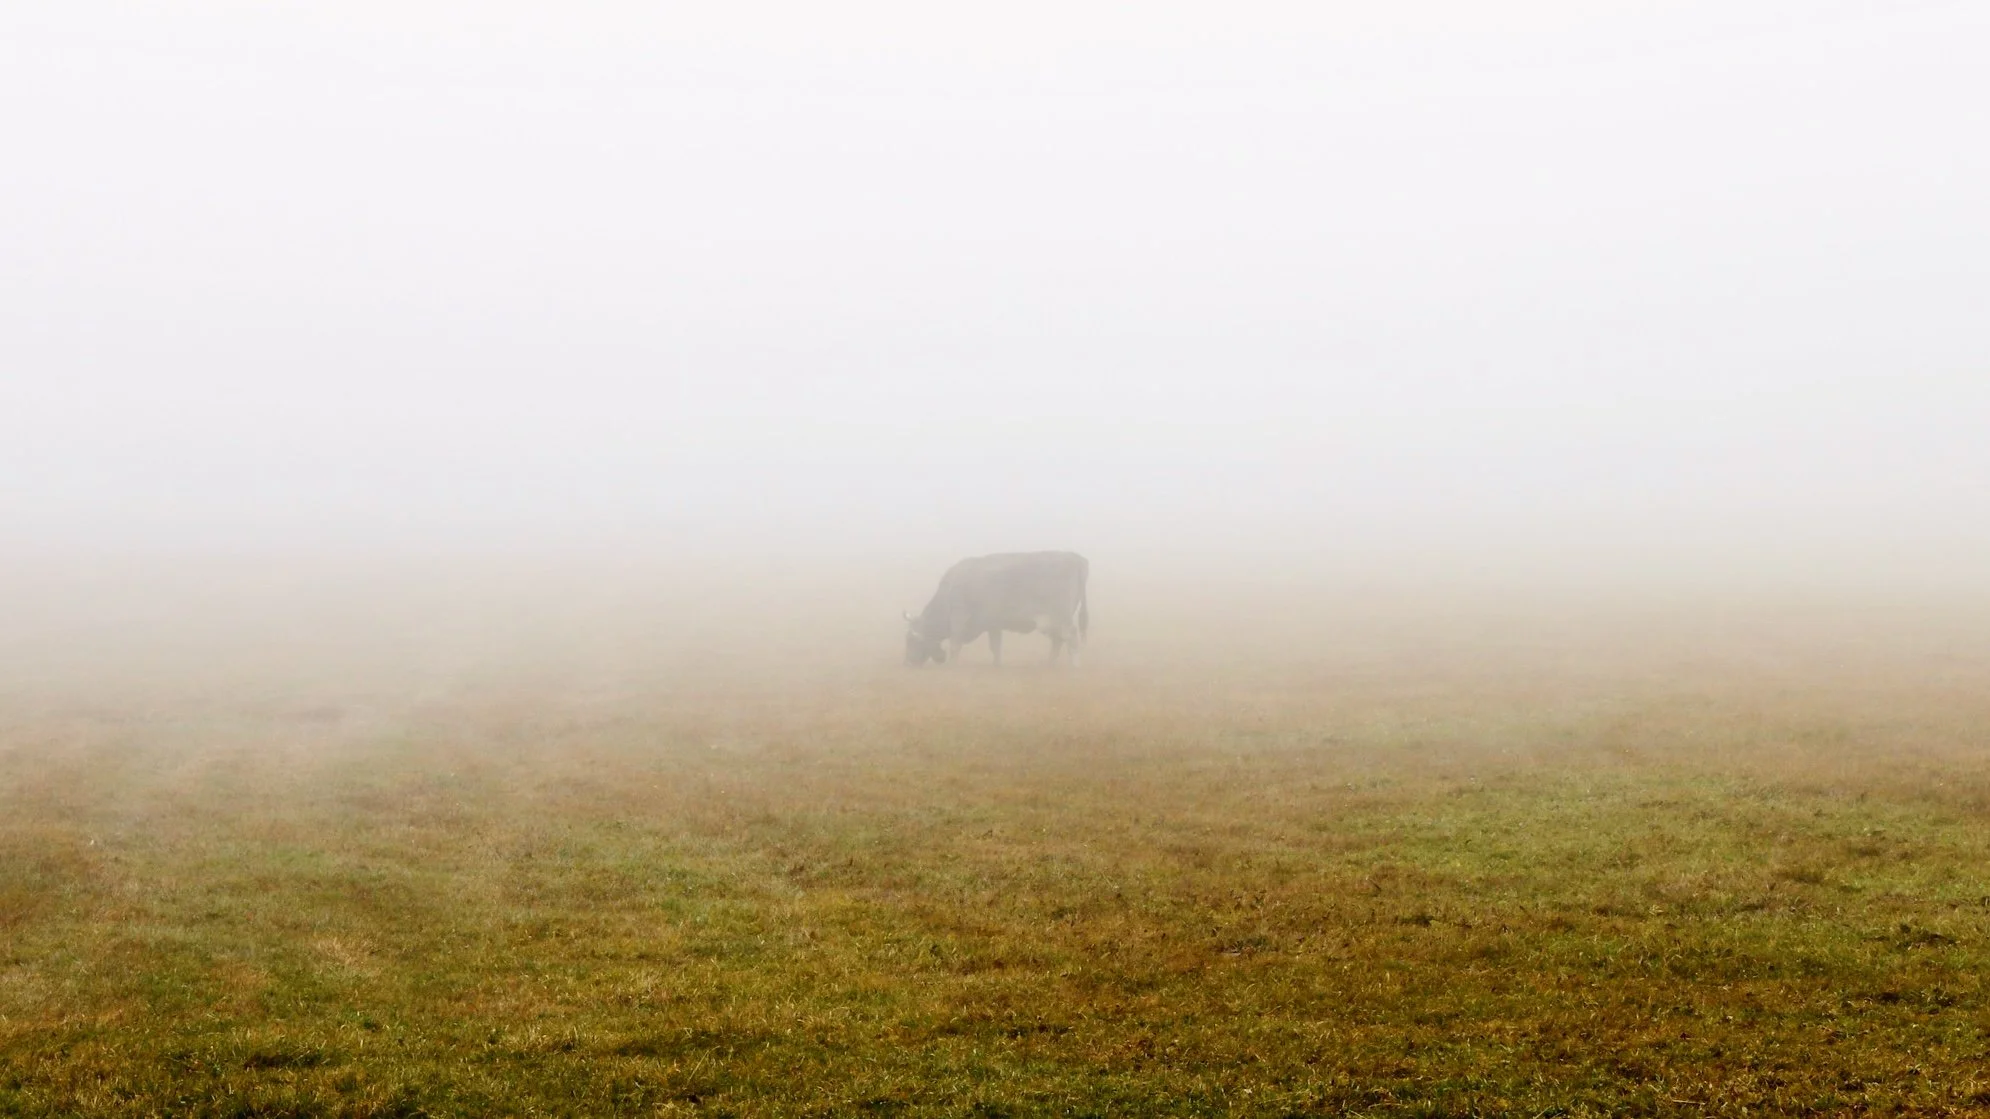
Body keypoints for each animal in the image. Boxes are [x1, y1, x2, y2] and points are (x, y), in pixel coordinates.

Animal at [903, 552, 1089, 667]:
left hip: (1059, 618)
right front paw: (997, 664)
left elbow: (955, 644)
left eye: (910, 641)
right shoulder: (993, 625)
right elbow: (996, 646)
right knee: (1058, 640)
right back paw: (1048, 663)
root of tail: (1074, 556)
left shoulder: (958, 617)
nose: (909, 663)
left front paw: (951, 665)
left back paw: (1075, 665)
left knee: (1071, 637)